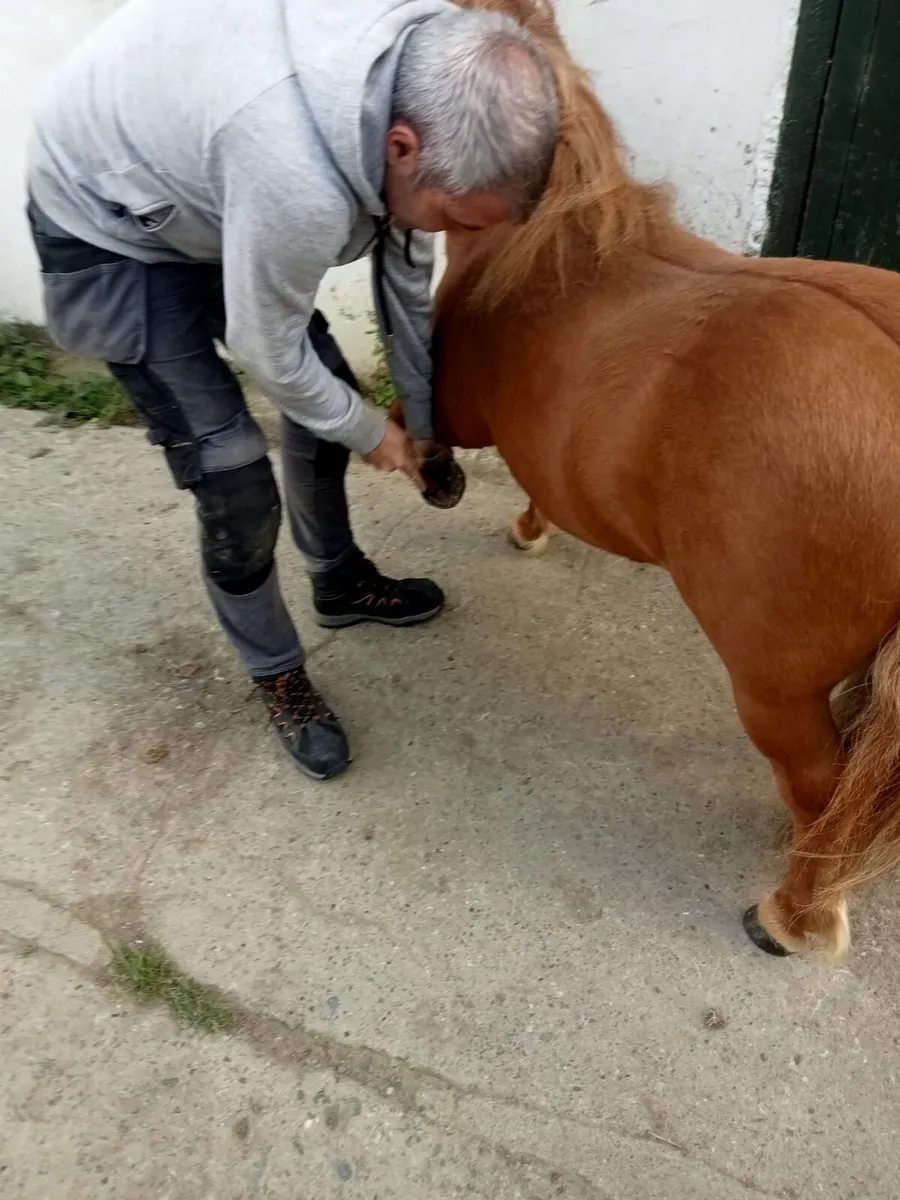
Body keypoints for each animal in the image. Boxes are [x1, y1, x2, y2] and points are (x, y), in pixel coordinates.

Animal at [424, 0, 900, 959]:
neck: (557, 242)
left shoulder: (460, 417)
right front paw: (530, 527)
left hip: (773, 687)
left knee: (821, 782)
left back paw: (793, 915)